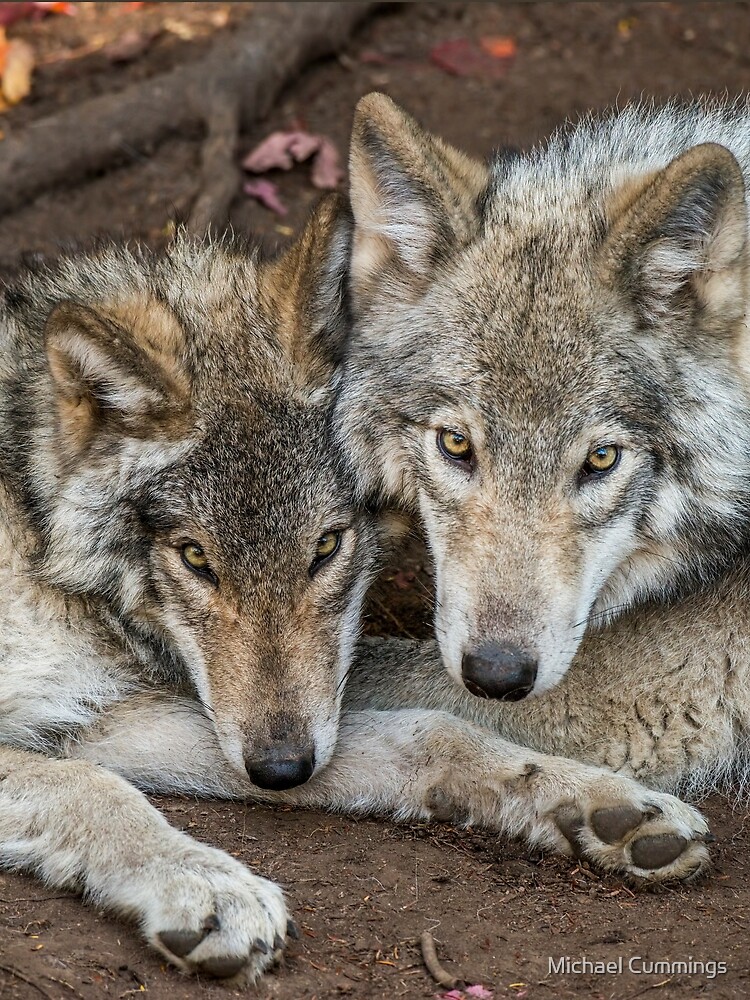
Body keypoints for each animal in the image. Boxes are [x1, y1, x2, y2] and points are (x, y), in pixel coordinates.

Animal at [0, 195, 712, 986]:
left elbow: (432, 731)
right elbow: (91, 788)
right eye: (194, 558)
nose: (281, 770)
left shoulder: (100, 717)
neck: (34, 526)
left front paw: (601, 802)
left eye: (326, 547)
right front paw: (207, 890)